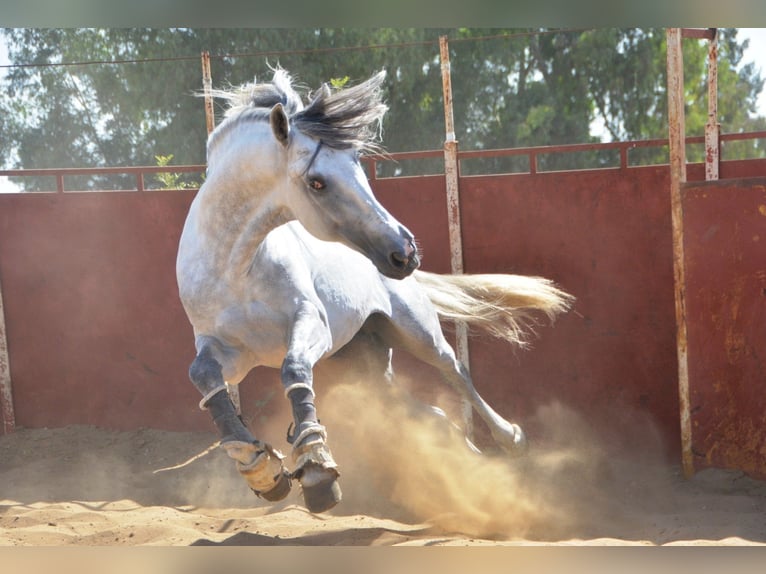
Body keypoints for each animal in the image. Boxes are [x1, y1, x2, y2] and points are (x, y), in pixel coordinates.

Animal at [177, 70, 572, 516]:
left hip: (416, 332)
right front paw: (260, 468)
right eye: (317, 182)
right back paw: (473, 464)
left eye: (359, 168)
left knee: (456, 373)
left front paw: (316, 470)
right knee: (432, 413)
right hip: (364, 364)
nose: (405, 251)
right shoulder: (229, 351)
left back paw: (511, 439)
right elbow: (202, 375)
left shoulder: (311, 323)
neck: (237, 268)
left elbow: (293, 369)